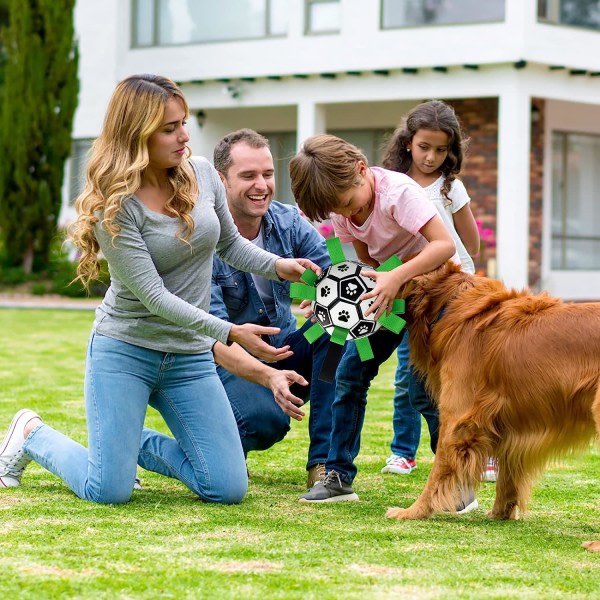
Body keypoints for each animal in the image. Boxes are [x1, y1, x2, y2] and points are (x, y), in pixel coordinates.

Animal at [384, 262, 600, 552]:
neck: (451, 305)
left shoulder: (456, 420)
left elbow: (438, 470)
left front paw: (414, 511)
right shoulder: (510, 427)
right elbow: (507, 476)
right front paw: (500, 514)